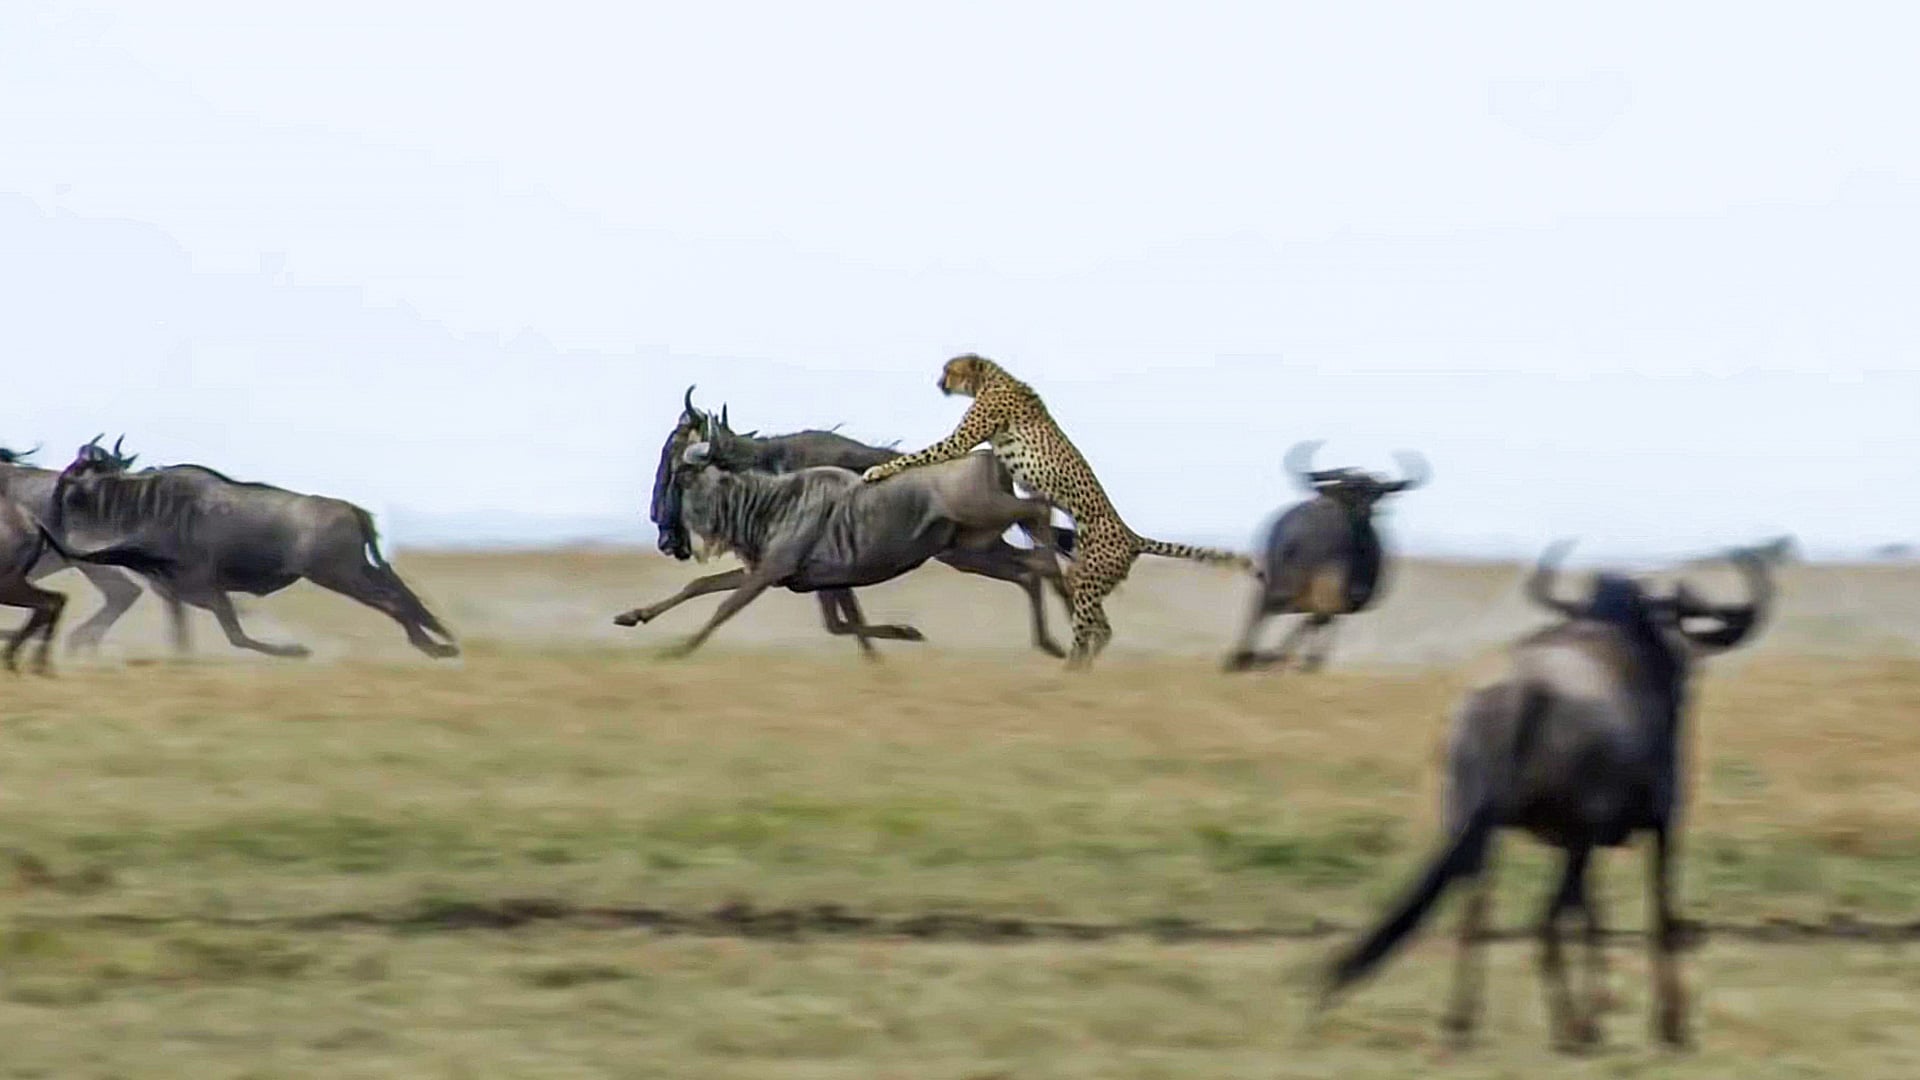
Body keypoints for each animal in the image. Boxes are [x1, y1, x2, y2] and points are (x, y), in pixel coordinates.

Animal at [861, 353, 1255, 667]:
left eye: (949, 370)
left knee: (1087, 629)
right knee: (1102, 627)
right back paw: (1081, 667)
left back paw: (1070, 670)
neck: (990, 378)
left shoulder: (961, 439)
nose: (939, 382)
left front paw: (877, 471)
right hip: (1085, 578)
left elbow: (921, 454)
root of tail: (1132, 536)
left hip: (1089, 581)